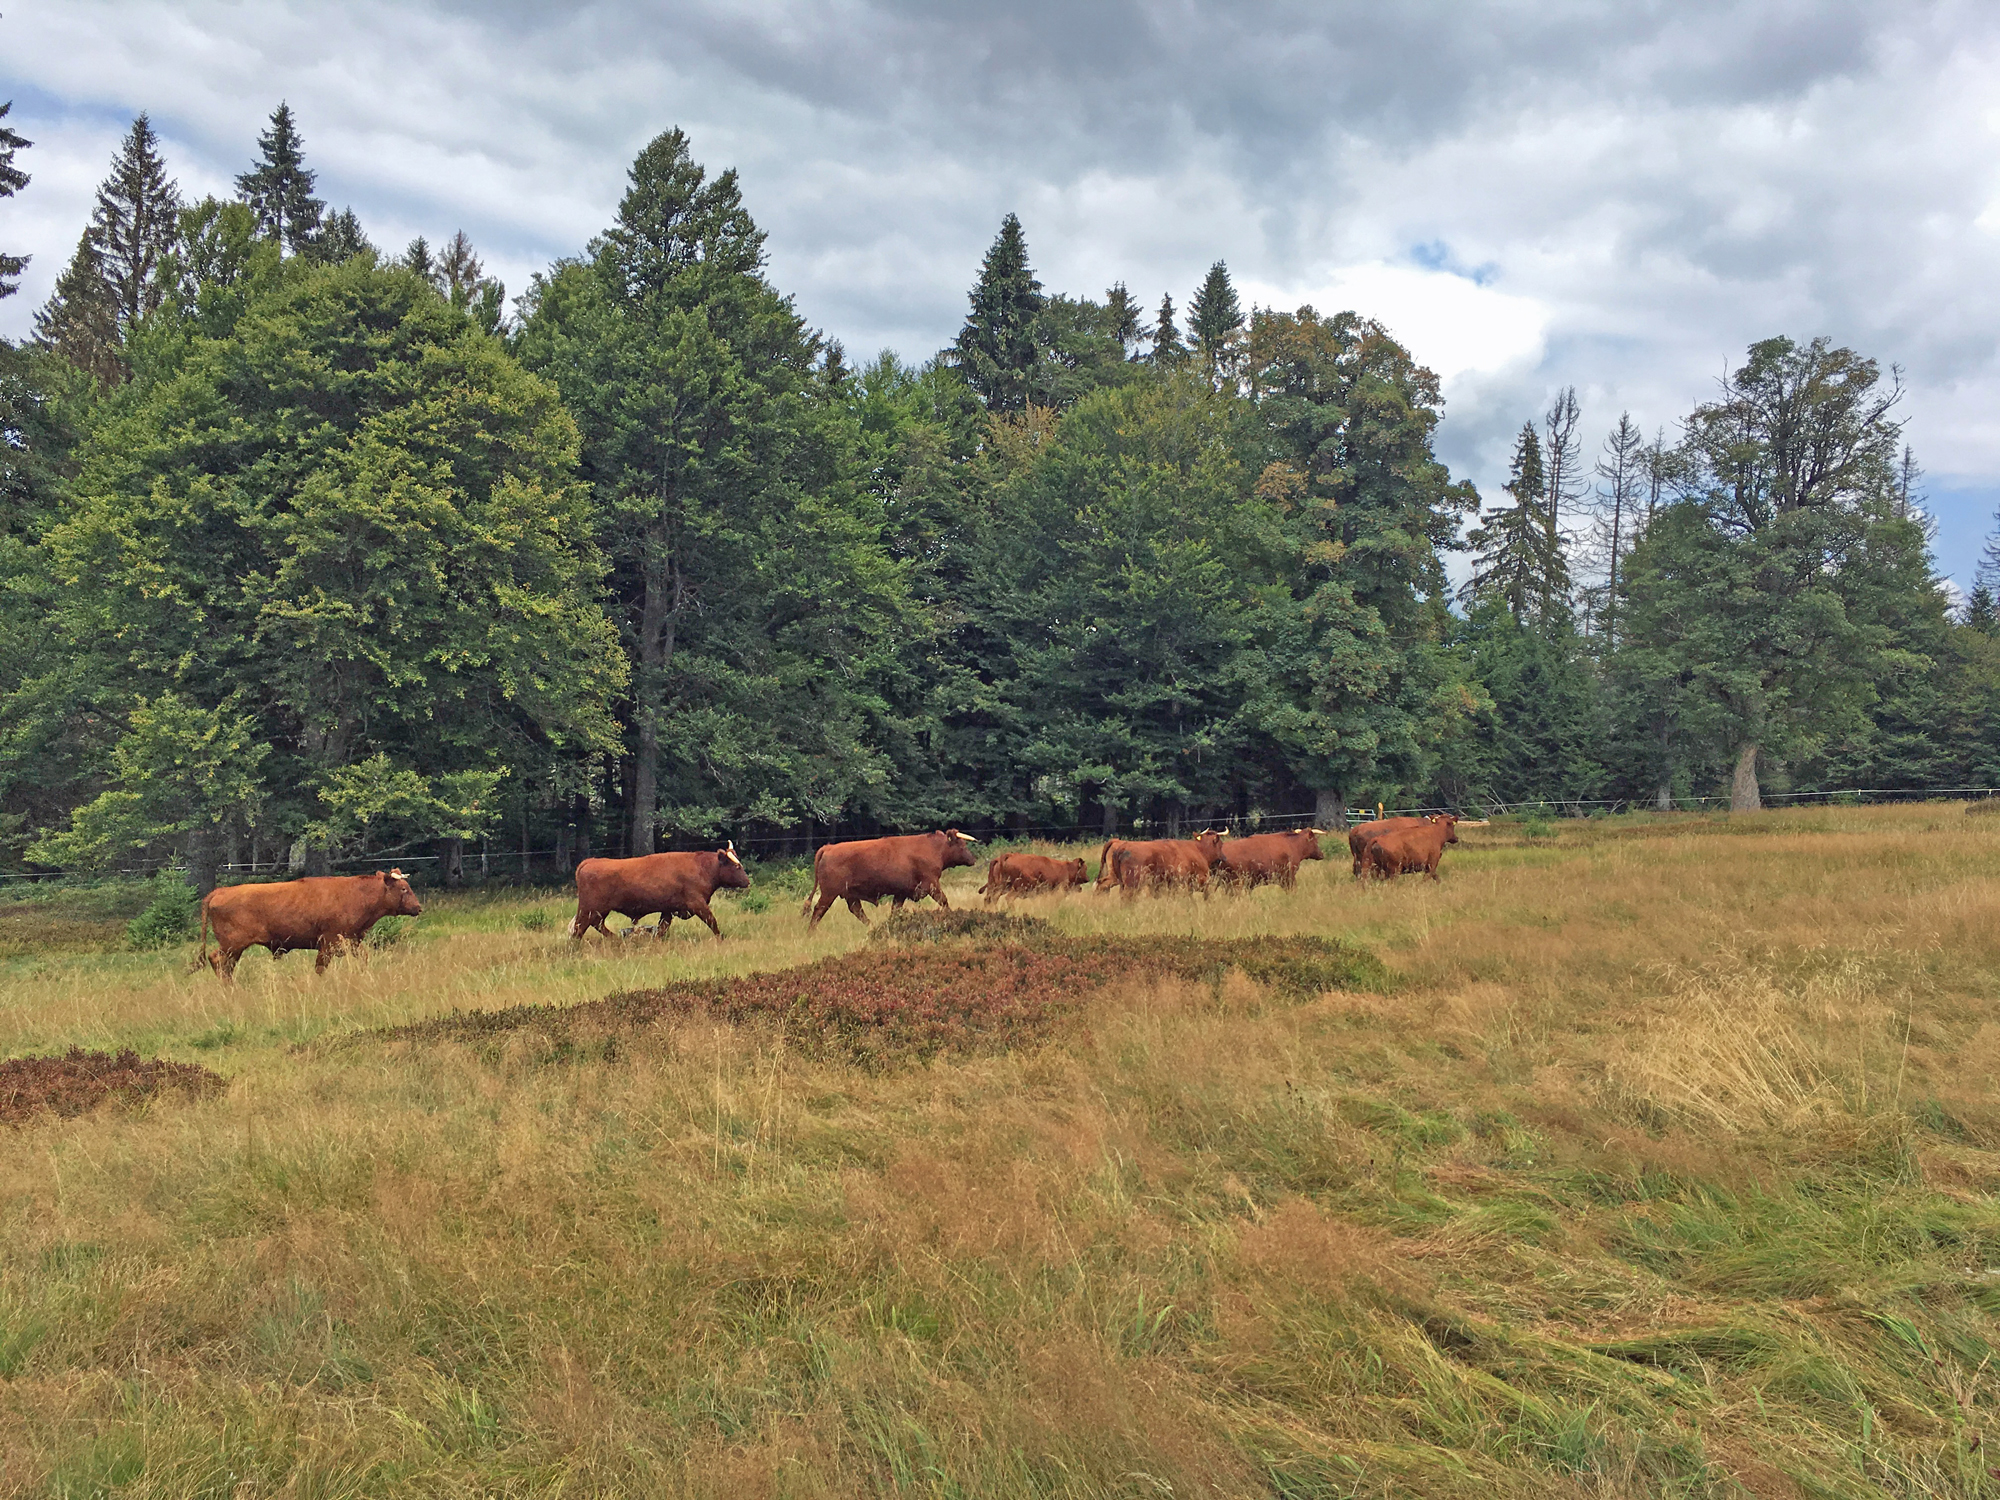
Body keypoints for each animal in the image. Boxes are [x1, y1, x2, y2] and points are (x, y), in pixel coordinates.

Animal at [197, 868, 424, 988]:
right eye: (404, 889)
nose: (419, 907)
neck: (356, 895)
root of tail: (221, 891)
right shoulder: (328, 942)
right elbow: (320, 967)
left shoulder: (352, 941)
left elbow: (363, 958)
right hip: (233, 944)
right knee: (217, 960)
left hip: (234, 948)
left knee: (225, 965)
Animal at [572, 848, 752, 940]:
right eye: (736, 866)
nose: (747, 882)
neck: (702, 868)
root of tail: (590, 861)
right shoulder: (697, 903)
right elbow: (712, 921)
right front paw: (721, 938)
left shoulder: (668, 909)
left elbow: (662, 928)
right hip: (589, 909)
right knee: (579, 929)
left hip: (597, 911)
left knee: (596, 924)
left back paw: (615, 939)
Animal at [804, 836, 976, 928]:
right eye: (962, 845)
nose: (973, 859)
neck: (935, 847)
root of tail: (829, 847)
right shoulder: (932, 884)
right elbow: (944, 901)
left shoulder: (901, 893)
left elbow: (895, 910)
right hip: (829, 893)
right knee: (819, 910)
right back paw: (810, 932)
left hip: (849, 895)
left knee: (857, 911)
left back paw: (872, 927)